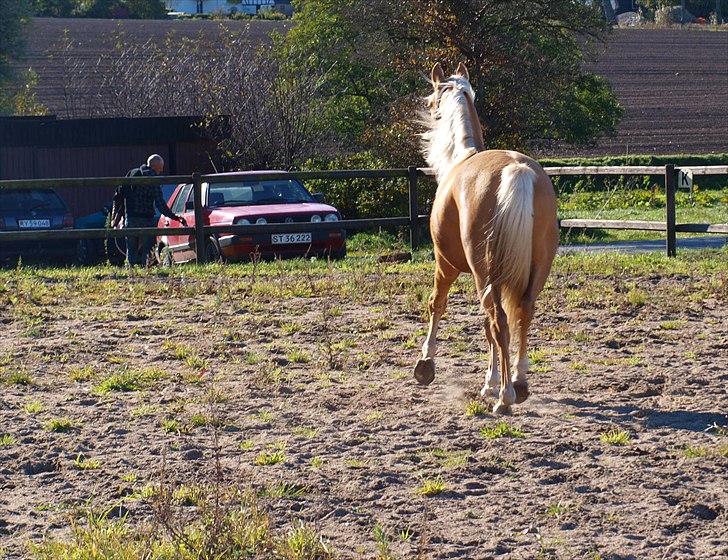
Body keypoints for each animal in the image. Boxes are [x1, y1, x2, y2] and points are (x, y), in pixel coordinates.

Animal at [416, 63, 556, 414]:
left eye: (431, 101)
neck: (462, 158)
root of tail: (517, 171)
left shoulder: (445, 264)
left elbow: (437, 305)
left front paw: (426, 364)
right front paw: (489, 382)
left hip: (483, 272)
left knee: (499, 322)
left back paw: (505, 397)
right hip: (534, 270)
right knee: (522, 313)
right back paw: (518, 382)